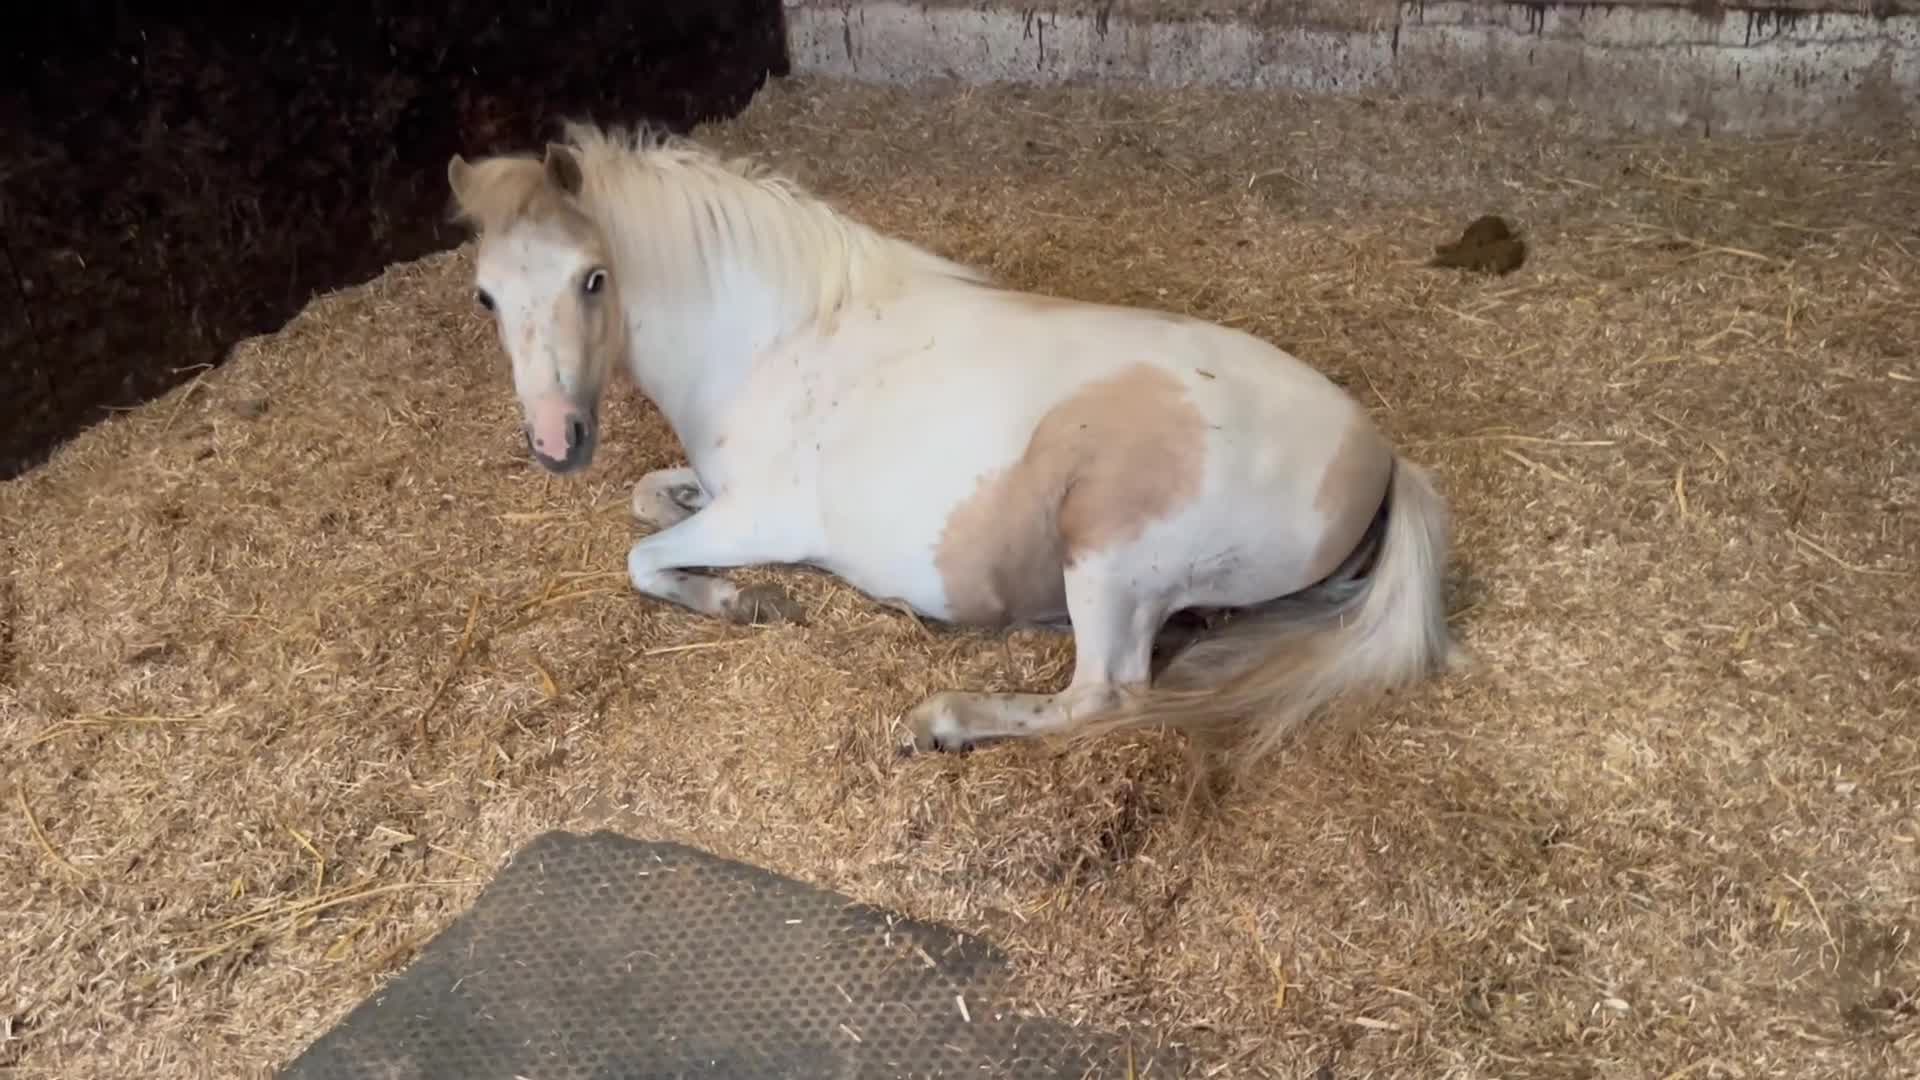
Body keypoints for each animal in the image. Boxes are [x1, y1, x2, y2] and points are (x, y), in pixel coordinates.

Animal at [444, 122, 1458, 768]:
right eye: (486, 296)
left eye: (593, 278)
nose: (556, 440)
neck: (774, 338)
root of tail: (1380, 460)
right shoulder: (713, 489)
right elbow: (649, 501)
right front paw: (733, 593)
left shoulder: (763, 519)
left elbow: (641, 557)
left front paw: (744, 601)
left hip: (1109, 557)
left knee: (1105, 695)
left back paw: (943, 720)